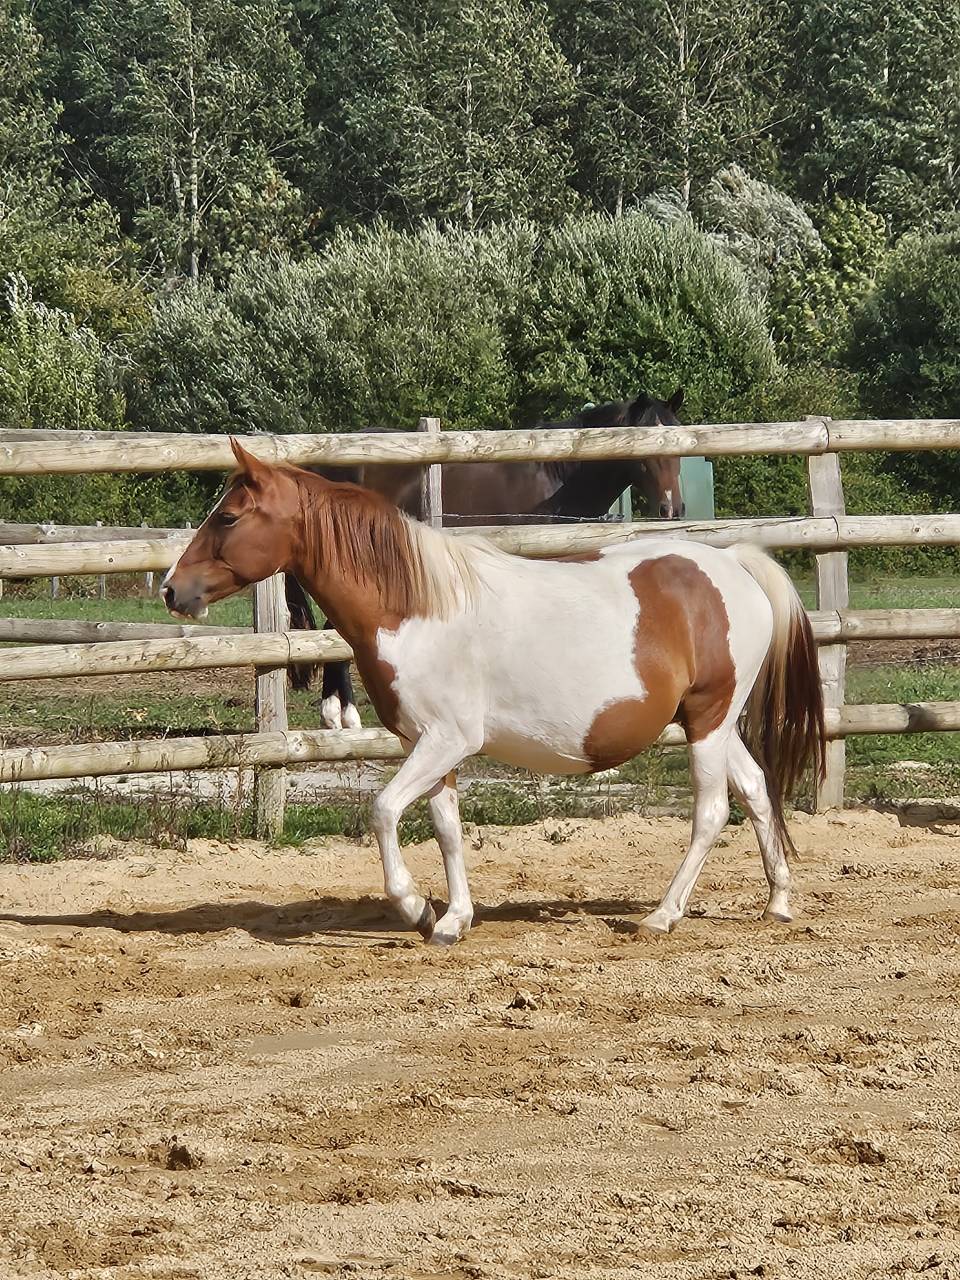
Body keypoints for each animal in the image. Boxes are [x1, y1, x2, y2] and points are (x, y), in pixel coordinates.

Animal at [163, 441, 825, 946]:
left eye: (228, 517)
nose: (172, 589)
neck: (417, 608)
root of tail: (732, 565)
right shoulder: (434, 747)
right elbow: (447, 830)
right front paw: (451, 919)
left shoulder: (445, 741)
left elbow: (383, 811)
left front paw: (414, 907)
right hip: (711, 721)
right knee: (757, 790)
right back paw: (778, 901)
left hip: (710, 720)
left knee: (711, 812)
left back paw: (663, 915)